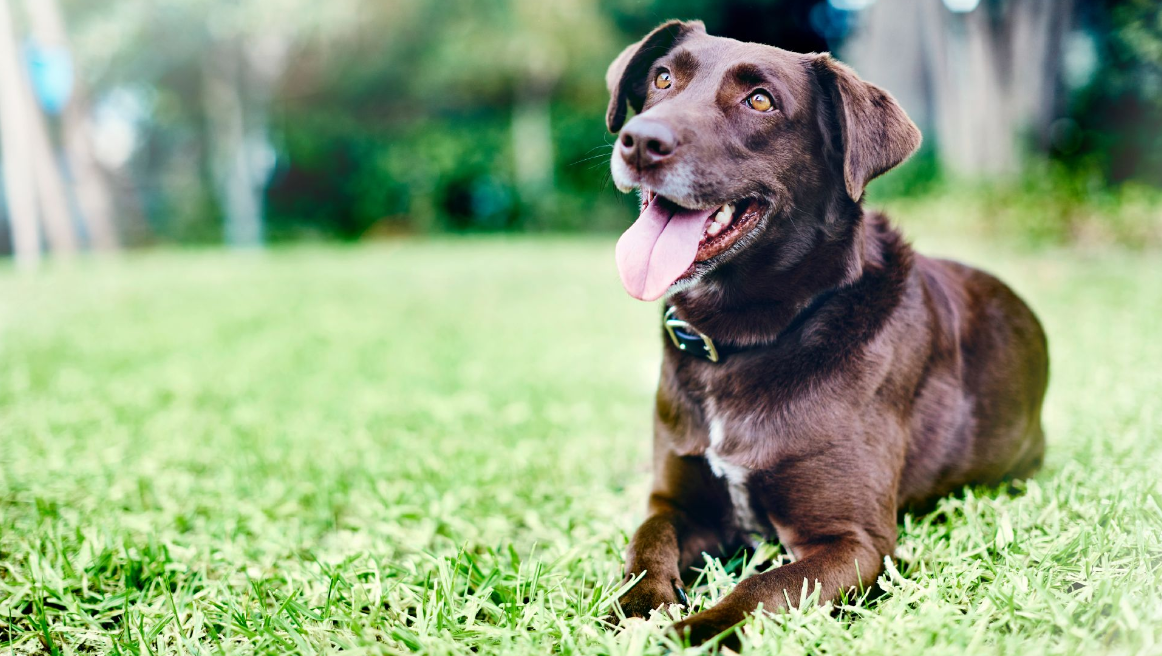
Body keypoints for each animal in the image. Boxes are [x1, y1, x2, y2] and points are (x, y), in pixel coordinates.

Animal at [604, 19, 1050, 645]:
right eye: (663, 78)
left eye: (760, 100)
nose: (640, 141)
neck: (745, 340)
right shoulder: (675, 502)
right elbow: (646, 545)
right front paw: (641, 610)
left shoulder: (854, 541)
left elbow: (759, 591)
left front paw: (690, 634)